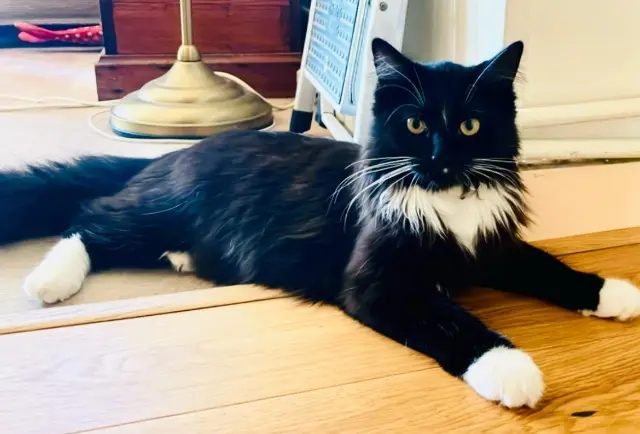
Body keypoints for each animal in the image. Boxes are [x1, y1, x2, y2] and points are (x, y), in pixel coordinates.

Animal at [2, 38, 639, 409]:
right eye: (414, 125)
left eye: (470, 127)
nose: (440, 157)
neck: (442, 200)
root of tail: (177, 152)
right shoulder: (378, 282)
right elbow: (453, 321)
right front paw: (510, 368)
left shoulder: (493, 244)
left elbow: (548, 264)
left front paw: (614, 292)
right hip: (158, 211)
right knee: (90, 220)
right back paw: (48, 282)